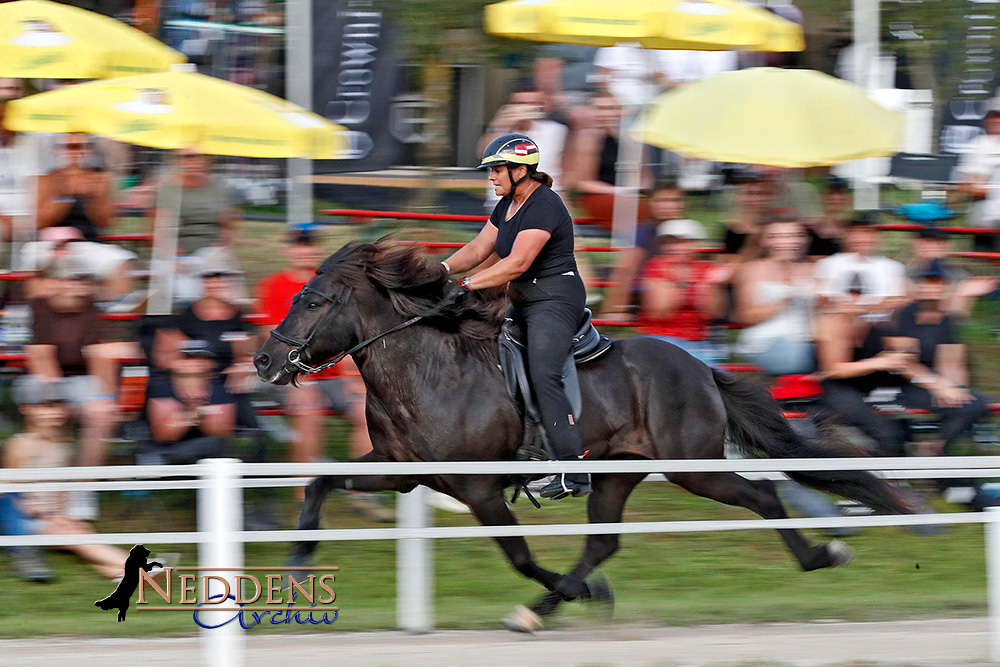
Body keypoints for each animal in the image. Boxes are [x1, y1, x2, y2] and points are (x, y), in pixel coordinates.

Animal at [254, 240, 916, 632]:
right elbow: (320, 482)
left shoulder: (479, 488)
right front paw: (297, 564)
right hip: (621, 472)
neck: (427, 368)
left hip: (694, 467)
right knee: (603, 540)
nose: (263, 361)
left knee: (761, 495)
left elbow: (518, 555)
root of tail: (699, 366)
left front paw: (579, 595)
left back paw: (820, 554)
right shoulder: (402, 469)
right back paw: (558, 599)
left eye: (313, 301)